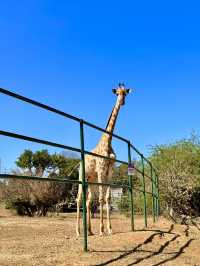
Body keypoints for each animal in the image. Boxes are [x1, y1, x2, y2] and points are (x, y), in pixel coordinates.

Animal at [76, 83, 132, 237]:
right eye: (117, 93)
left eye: (125, 93)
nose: (122, 101)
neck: (108, 141)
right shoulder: (101, 170)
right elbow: (101, 198)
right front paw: (102, 230)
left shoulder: (110, 171)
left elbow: (108, 198)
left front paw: (110, 229)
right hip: (82, 176)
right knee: (79, 198)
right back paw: (78, 232)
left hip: (91, 179)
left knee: (88, 201)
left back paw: (89, 231)